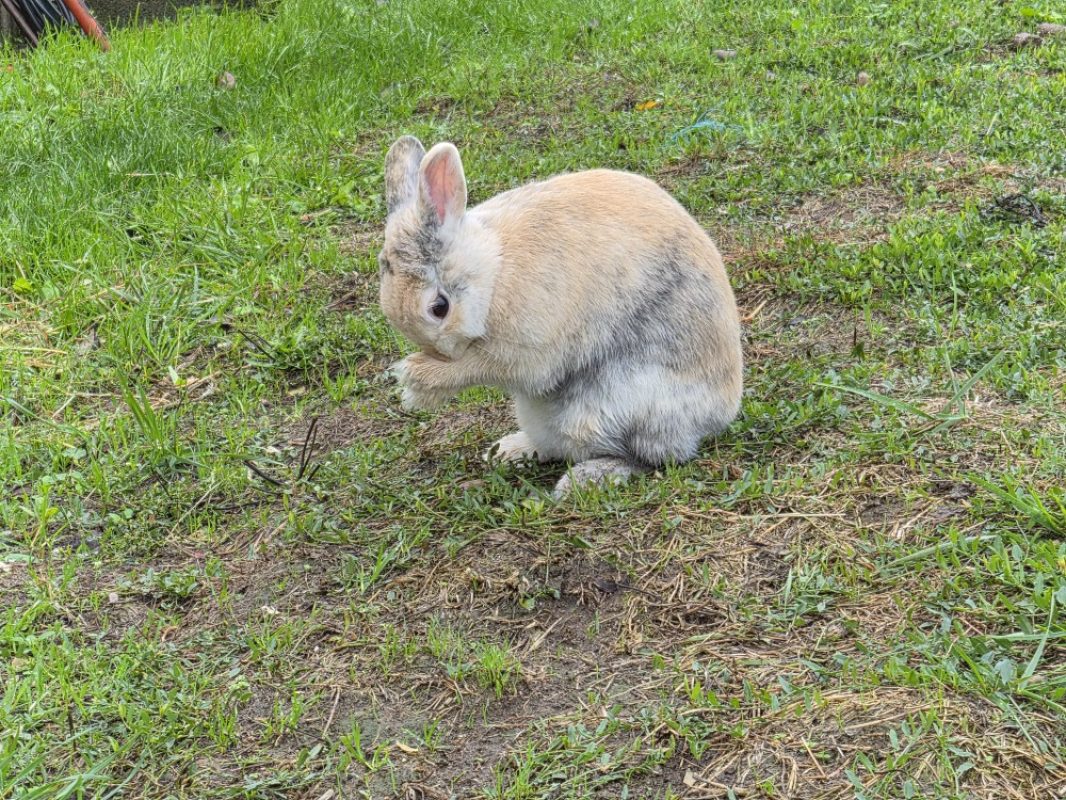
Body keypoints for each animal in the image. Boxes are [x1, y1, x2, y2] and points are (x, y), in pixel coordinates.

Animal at [377, 135, 743, 497]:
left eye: (439, 308)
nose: (445, 353)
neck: (494, 271)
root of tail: (720, 415)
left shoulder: (526, 351)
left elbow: (483, 367)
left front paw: (417, 380)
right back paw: (509, 450)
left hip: (618, 410)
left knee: (651, 458)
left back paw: (585, 479)